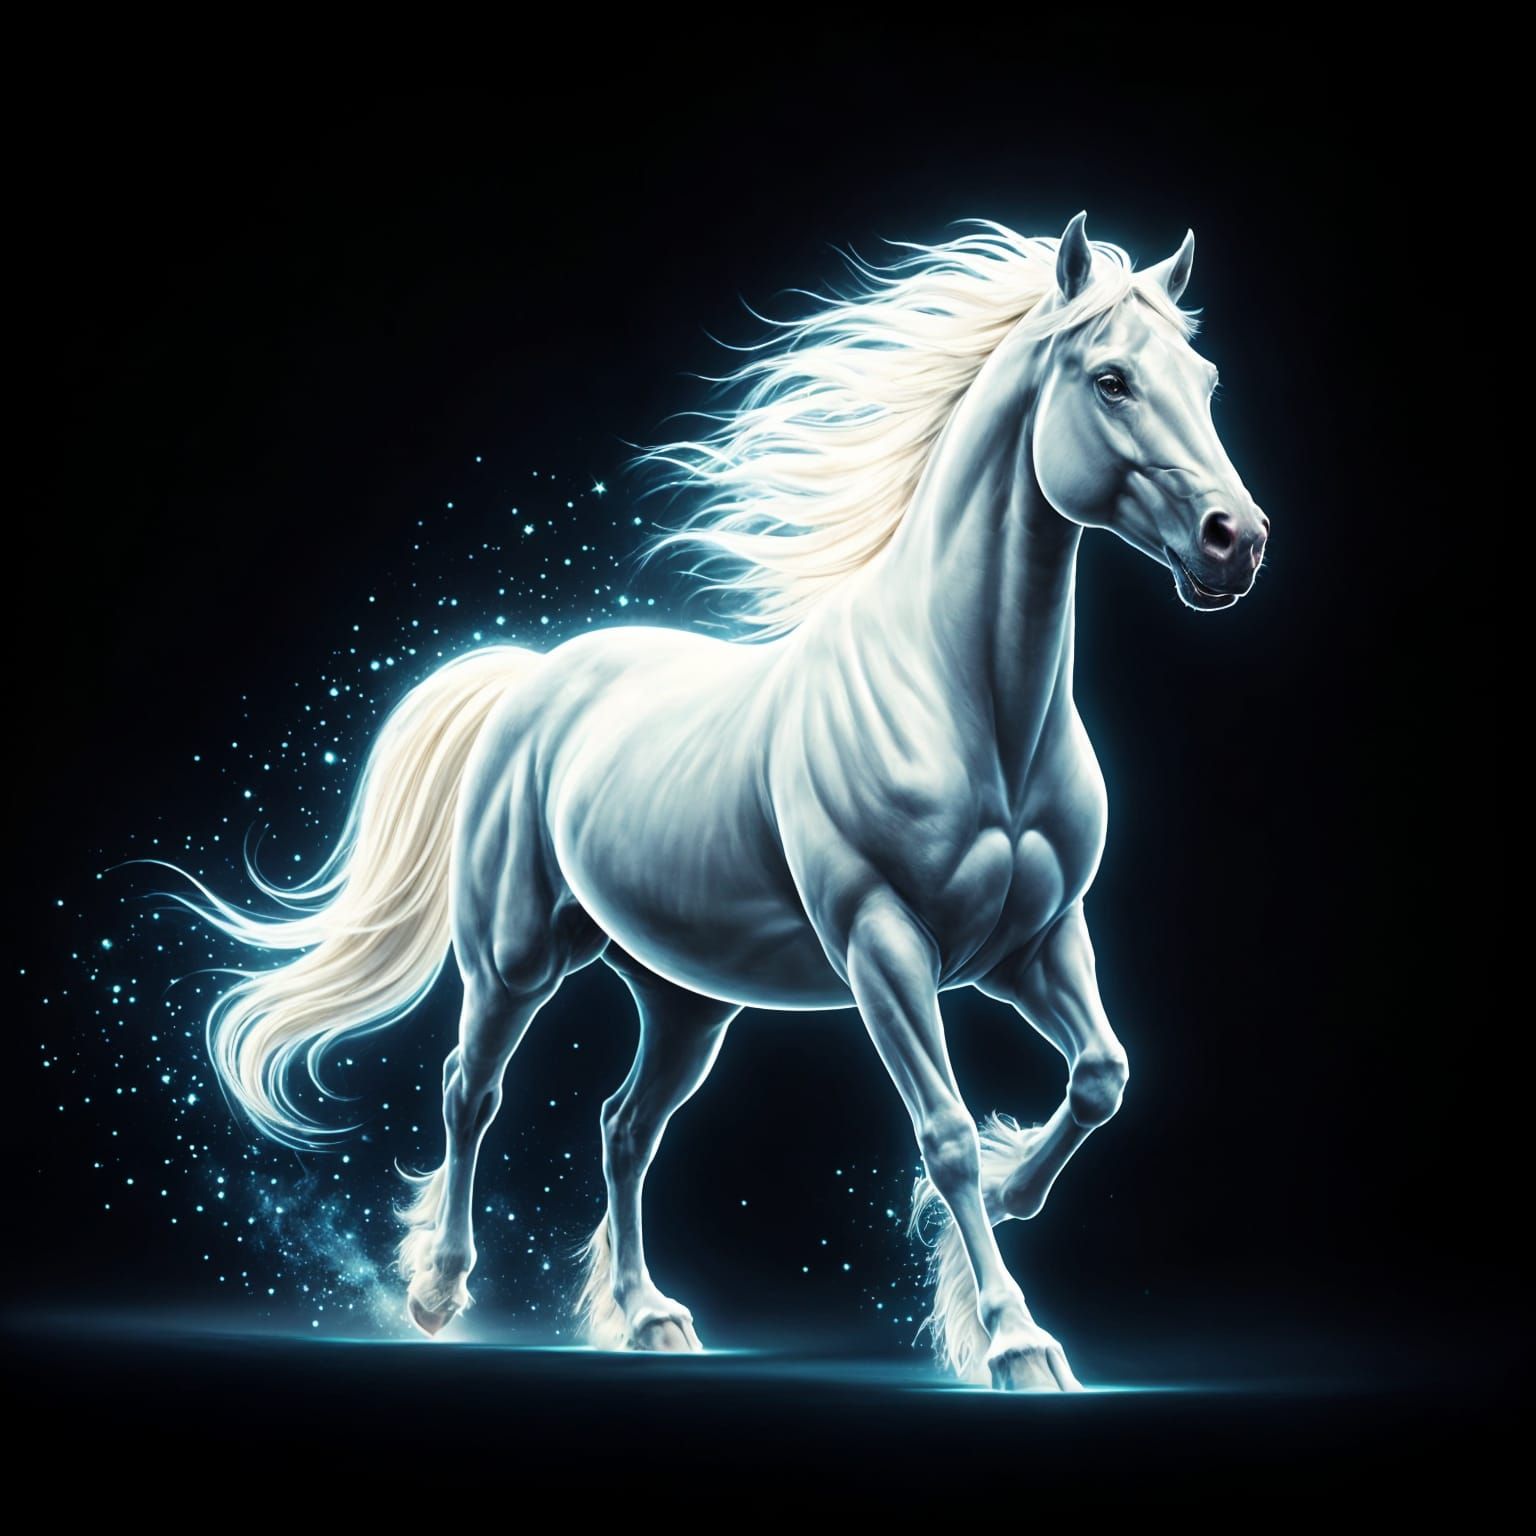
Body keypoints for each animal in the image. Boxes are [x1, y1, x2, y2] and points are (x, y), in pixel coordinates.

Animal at [171, 213, 1269, 1391]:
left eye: (1207, 380)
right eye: (1111, 380)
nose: (1236, 541)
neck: (968, 703)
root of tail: (534, 678)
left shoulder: (1038, 942)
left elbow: (1104, 1075)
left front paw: (1011, 1200)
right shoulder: (884, 946)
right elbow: (946, 1135)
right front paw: (1018, 1341)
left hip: (686, 1000)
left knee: (623, 1128)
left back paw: (649, 1315)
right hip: (514, 955)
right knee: (473, 1089)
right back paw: (438, 1292)